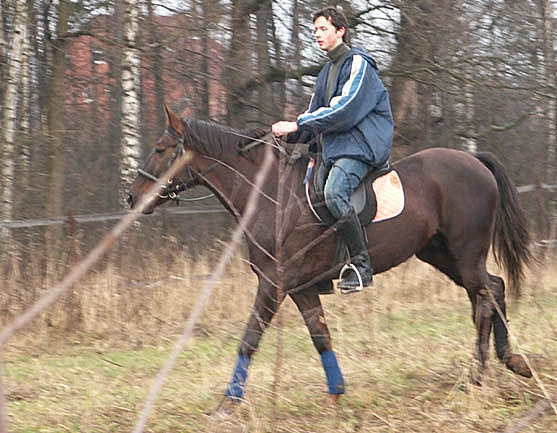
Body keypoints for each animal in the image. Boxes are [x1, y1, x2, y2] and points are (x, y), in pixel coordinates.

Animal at [128, 107, 532, 412]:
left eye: (162, 149)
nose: (133, 196)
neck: (272, 194)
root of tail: (473, 160)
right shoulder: (300, 288)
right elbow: (321, 337)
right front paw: (336, 393)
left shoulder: (273, 284)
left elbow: (250, 339)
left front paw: (227, 404)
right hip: (442, 254)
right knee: (491, 290)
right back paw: (503, 364)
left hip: (466, 253)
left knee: (486, 296)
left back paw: (482, 373)